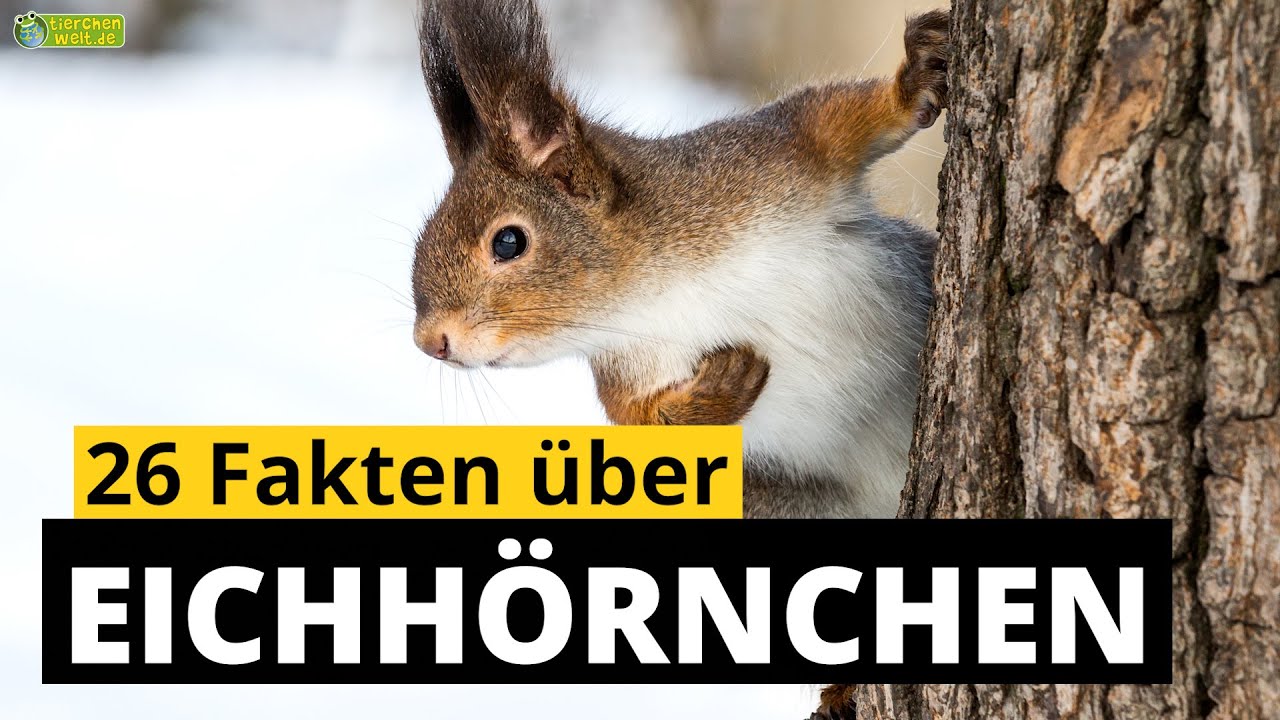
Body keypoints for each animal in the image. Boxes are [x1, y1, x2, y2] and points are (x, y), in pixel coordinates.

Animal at [411, 0, 948, 519]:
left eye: (508, 242)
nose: (429, 343)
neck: (652, 290)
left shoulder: (769, 159)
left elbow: (837, 118)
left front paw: (918, 75)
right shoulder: (625, 369)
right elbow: (639, 421)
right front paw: (722, 386)